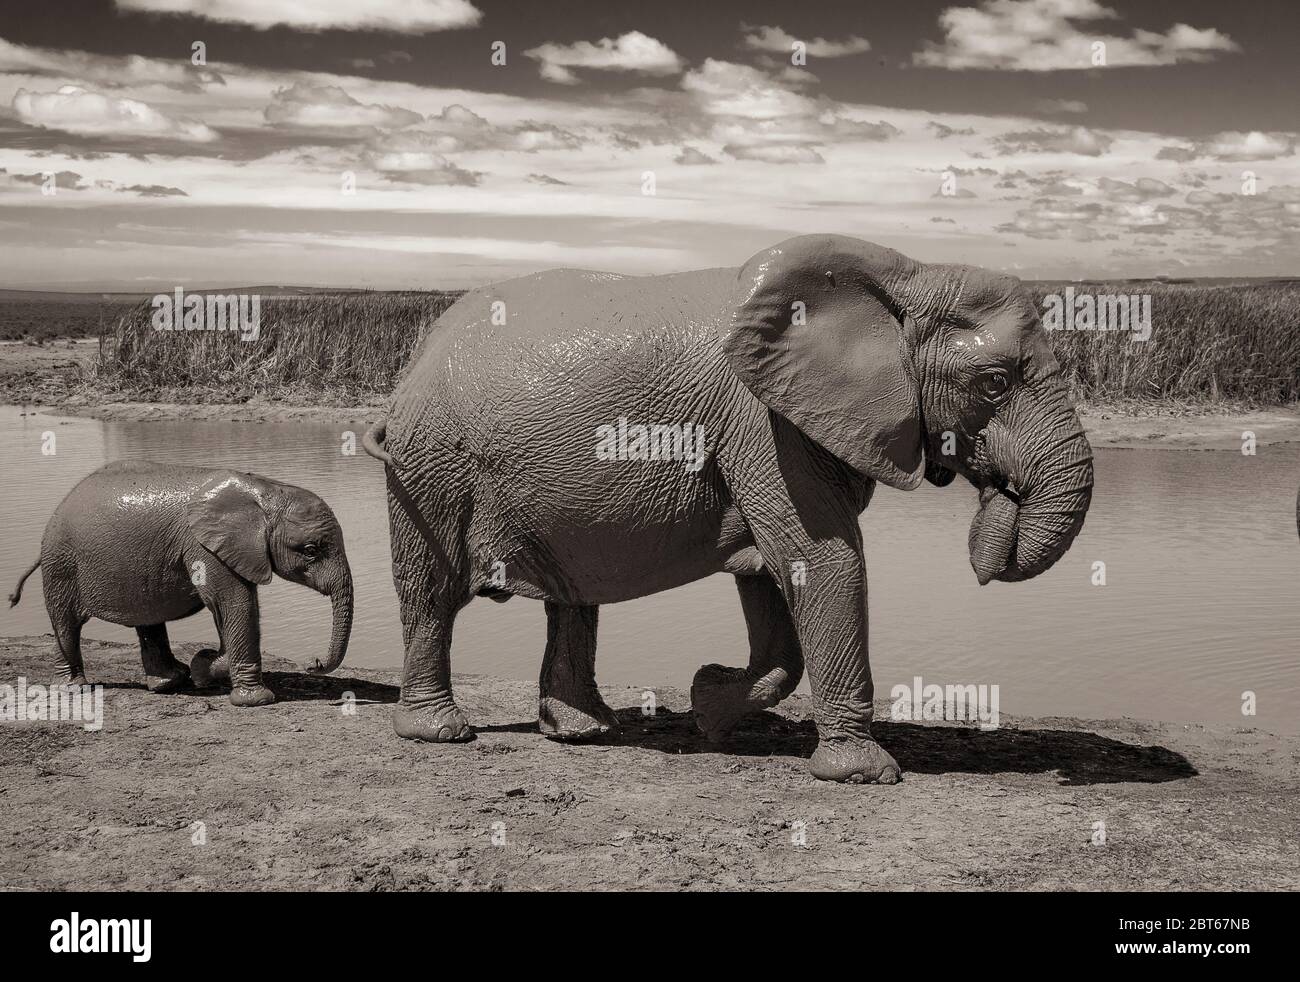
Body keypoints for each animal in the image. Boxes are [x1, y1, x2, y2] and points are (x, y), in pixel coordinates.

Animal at [7, 460, 353, 705]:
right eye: (310, 550)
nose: (312, 663)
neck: (265, 489)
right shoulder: (203, 547)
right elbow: (235, 604)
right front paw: (254, 698)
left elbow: (237, 607)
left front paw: (203, 667)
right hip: (61, 560)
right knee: (66, 622)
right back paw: (74, 690)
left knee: (147, 620)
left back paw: (170, 681)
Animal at [362, 234, 1093, 783]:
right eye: (993, 383)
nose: (998, 491)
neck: (904, 275)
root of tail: (421, 348)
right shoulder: (764, 423)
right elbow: (822, 559)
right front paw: (864, 775)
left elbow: (771, 576)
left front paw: (708, 707)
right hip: (432, 461)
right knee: (431, 592)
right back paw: (440, 732)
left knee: (572, 595)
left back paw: (583, 732)